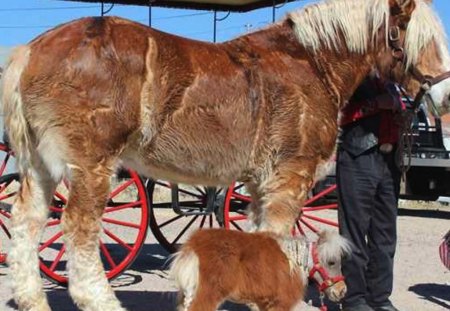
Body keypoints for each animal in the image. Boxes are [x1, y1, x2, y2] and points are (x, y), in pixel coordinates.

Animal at [172, 229, 352, 311]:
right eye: (331, 262)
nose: (342, 291)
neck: (293, 260)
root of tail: (193, 248)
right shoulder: (279, 303)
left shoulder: (263, 302)